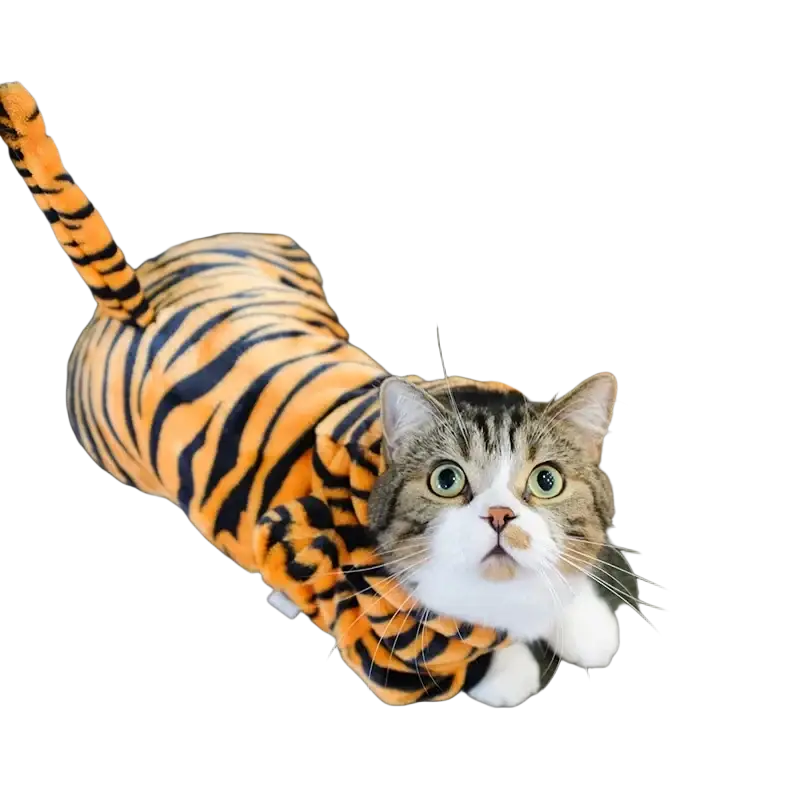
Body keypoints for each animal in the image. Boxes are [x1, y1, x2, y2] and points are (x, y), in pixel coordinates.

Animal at [1, 81, 621, 707]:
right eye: (447, 480)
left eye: (546, 481)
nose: (499, 515)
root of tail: (139, 300)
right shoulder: (317, 571)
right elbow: (447, 659)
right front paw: (511, 658)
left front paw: (582, 620)